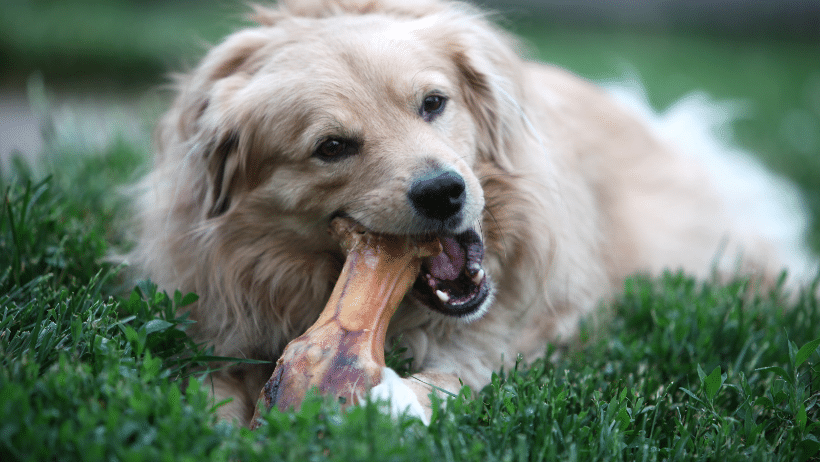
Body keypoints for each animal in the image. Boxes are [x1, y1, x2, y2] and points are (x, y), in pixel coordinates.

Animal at [131, 0, 816, 426]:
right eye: (332, 147)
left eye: (433, 103)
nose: (443, 191)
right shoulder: (220, 330)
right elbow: (206, 389)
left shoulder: (536, 335)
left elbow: (461, 375)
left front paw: (395, 402)